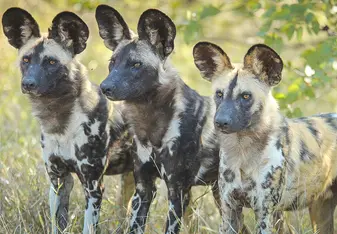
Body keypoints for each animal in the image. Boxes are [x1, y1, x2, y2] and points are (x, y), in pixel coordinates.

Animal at [2, 7, 134, 234]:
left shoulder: (93, 187)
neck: (60, 122)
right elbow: (57, 224)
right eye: (26, 60)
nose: (28, 83)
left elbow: (88, 227)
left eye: (51, 62)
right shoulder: (59, 182)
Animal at [94, 5, 223, 234]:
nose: (105, 87)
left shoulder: (178, 192)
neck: (151, 125)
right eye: (112, 62)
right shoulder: (143, 189)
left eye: (136, 64)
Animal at [193, 41, 336, 232]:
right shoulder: (229, 211)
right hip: (321, 212)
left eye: (246, 96)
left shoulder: (265, 213)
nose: (221, 122)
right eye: (219, 94)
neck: (243, 152)